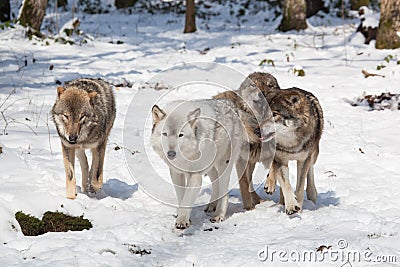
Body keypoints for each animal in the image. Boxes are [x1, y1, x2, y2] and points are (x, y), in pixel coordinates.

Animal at [150, 99, 244, 229]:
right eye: (164, 134)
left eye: (180, 135)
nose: (171, 153)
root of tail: (230, 104)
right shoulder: (176, 173)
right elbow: (182, 196)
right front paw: (185, 218)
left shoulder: (195, 175)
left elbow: (187, 197)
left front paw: (182, 221)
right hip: (209, 166)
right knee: (215, 180)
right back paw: (212, 205)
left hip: (223, 164)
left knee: (224, 189)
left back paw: (219, 215)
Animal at [255, 88, 324, 216]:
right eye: (263, 114)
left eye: (274, 114)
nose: (256, 131)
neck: (291, 144)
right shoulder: (280, 160)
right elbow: (285, 184)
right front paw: (291, 206)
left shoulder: (303, 160)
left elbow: (300, 187)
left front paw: (299, 209)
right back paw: (271, 186)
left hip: (314, 152)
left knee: (310, 170)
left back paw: (312, 193)